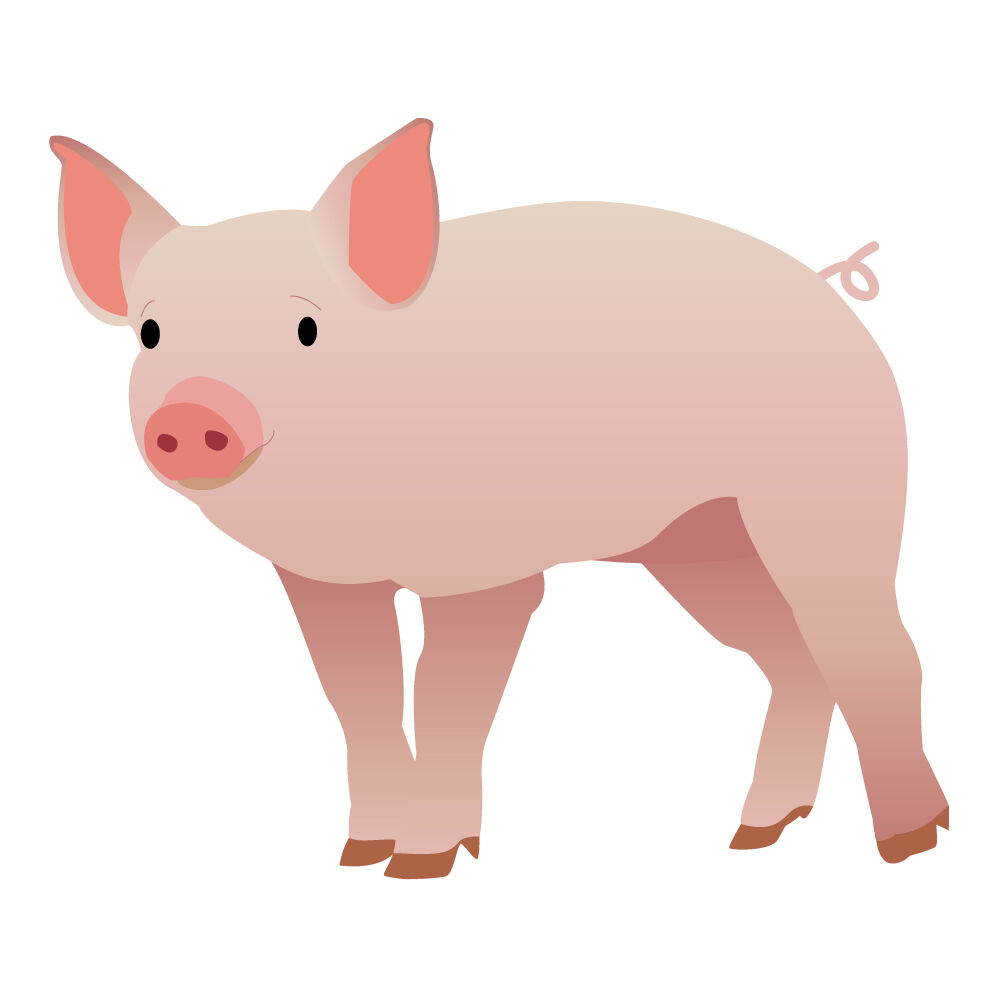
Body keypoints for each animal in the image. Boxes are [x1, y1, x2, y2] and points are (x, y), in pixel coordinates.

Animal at [50, 119, 948, 878]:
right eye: (150, 334)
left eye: (307, 329)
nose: (191, 414)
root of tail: (835, 295)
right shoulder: (325, 584)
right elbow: (361, 701)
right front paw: (357, 857)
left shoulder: (485, 575)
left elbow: (445, 700)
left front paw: (420, 866)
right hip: (698, 546)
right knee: (794, 660)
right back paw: (753, 835)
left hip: (832, 505)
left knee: (879, 652)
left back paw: (910, 841)